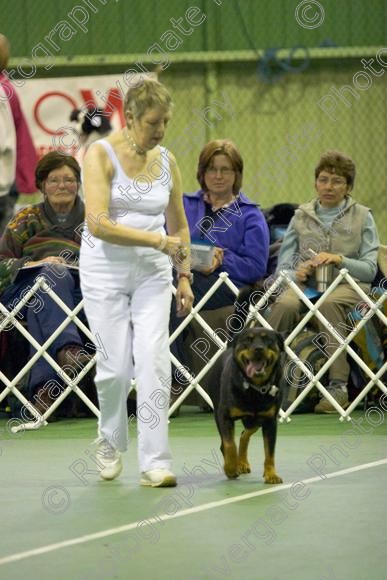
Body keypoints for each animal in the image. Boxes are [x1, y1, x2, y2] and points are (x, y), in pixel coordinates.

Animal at [211, 326, 286, 484]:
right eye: (248, 340)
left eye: (267, 339)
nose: (258, 349)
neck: (254, 388)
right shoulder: (224, 416)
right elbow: (229, 444)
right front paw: (230, 468)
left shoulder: (270, 420)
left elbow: (270, 452)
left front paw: (271, 474)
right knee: (226, 443)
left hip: (255, 420)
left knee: (244, 435)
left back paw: (242, 463)